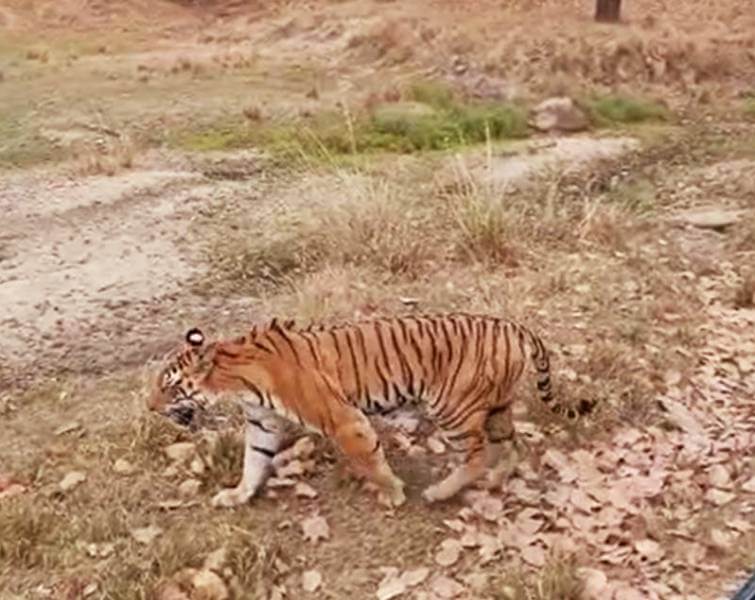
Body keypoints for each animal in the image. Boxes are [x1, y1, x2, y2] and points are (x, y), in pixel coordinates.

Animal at [148, 312, 592, 508]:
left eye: (169, 386)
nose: (150, 407)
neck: (235, 380)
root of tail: (513, 325)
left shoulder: (344, 419)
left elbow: (369, 459)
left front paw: (393, 493)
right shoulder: (263, 425)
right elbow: (252, 464)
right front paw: (236, 496)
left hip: (452, 406)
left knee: (478, 454)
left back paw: (438, 492)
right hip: (496, 406)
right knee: (512, 444)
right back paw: (498, 479)